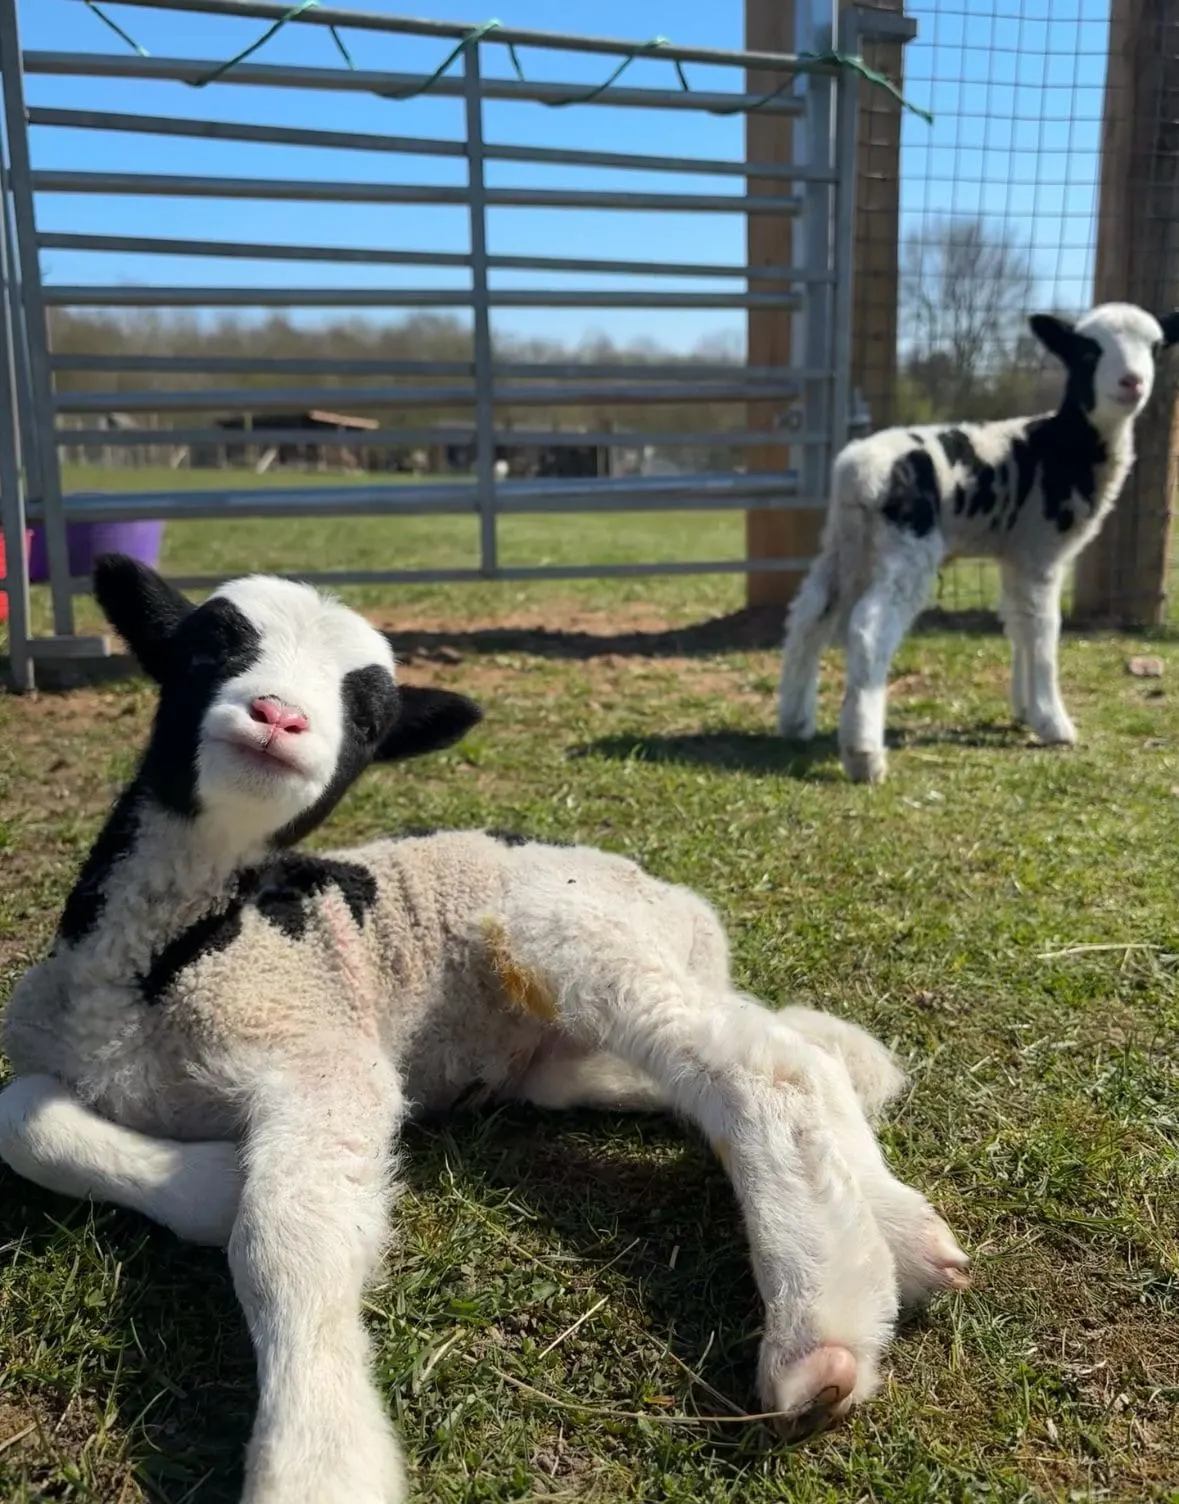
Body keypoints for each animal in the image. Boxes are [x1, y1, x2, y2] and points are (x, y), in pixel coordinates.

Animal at [0, 557, 970, 1504]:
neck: (170, 957)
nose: (279, 718)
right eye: (209, 647)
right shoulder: (56, 1041)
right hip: (571, 1047)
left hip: (564, 932)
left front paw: (317, 1460)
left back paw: (821, 1338)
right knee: (782, 1055)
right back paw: (903, 1236)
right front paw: (204, 1184)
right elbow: (23, 1121)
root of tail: (676, 901)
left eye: (369, 719)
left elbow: (285, 1237)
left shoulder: (320, 1050)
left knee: (765, 1066)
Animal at [778, 302, 1179, 783]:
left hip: (847, 544)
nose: (1132, 382)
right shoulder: (1040, 551)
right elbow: (1045, 631)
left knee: (810, 614)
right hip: (908, 545)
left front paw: (1025, 709)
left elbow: (1019, 625)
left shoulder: (1016, 555)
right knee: (869, 629)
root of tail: (857, 474)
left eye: (1156, 348)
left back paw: (794, 720)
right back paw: (864, 755)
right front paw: (1054, 723)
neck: (1065, 445)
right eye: (1088, 352)